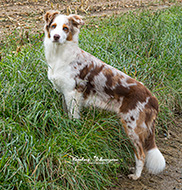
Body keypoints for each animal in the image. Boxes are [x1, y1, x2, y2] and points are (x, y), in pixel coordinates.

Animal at [43, 10, 166, 180]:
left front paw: (72, 130)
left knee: (141, 154)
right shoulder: (65, 93)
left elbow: (73, 117)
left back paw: (136, 175)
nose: (56, 36)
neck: (59, 54)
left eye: (65, 28)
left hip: (132, 126)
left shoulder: (73, 93)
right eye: (53, 26)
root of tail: (152, 98)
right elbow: (66, 112)